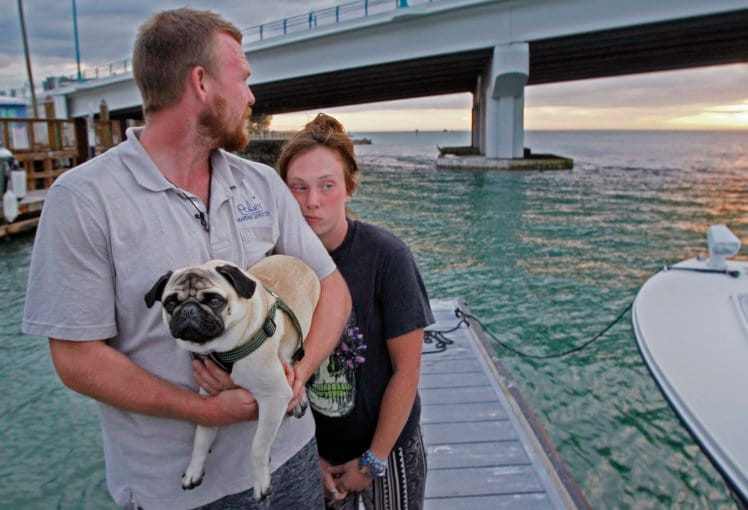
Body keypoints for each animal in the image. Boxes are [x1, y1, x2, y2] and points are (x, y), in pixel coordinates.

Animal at [144, 255, 320, 500]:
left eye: (214, 301)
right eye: (170, 304)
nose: (188, 309)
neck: (221, 349)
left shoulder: (274, 397)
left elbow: (258, 446)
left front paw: (261, 481)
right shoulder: (211, 398)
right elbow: (201, 438)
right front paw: (194, 470)